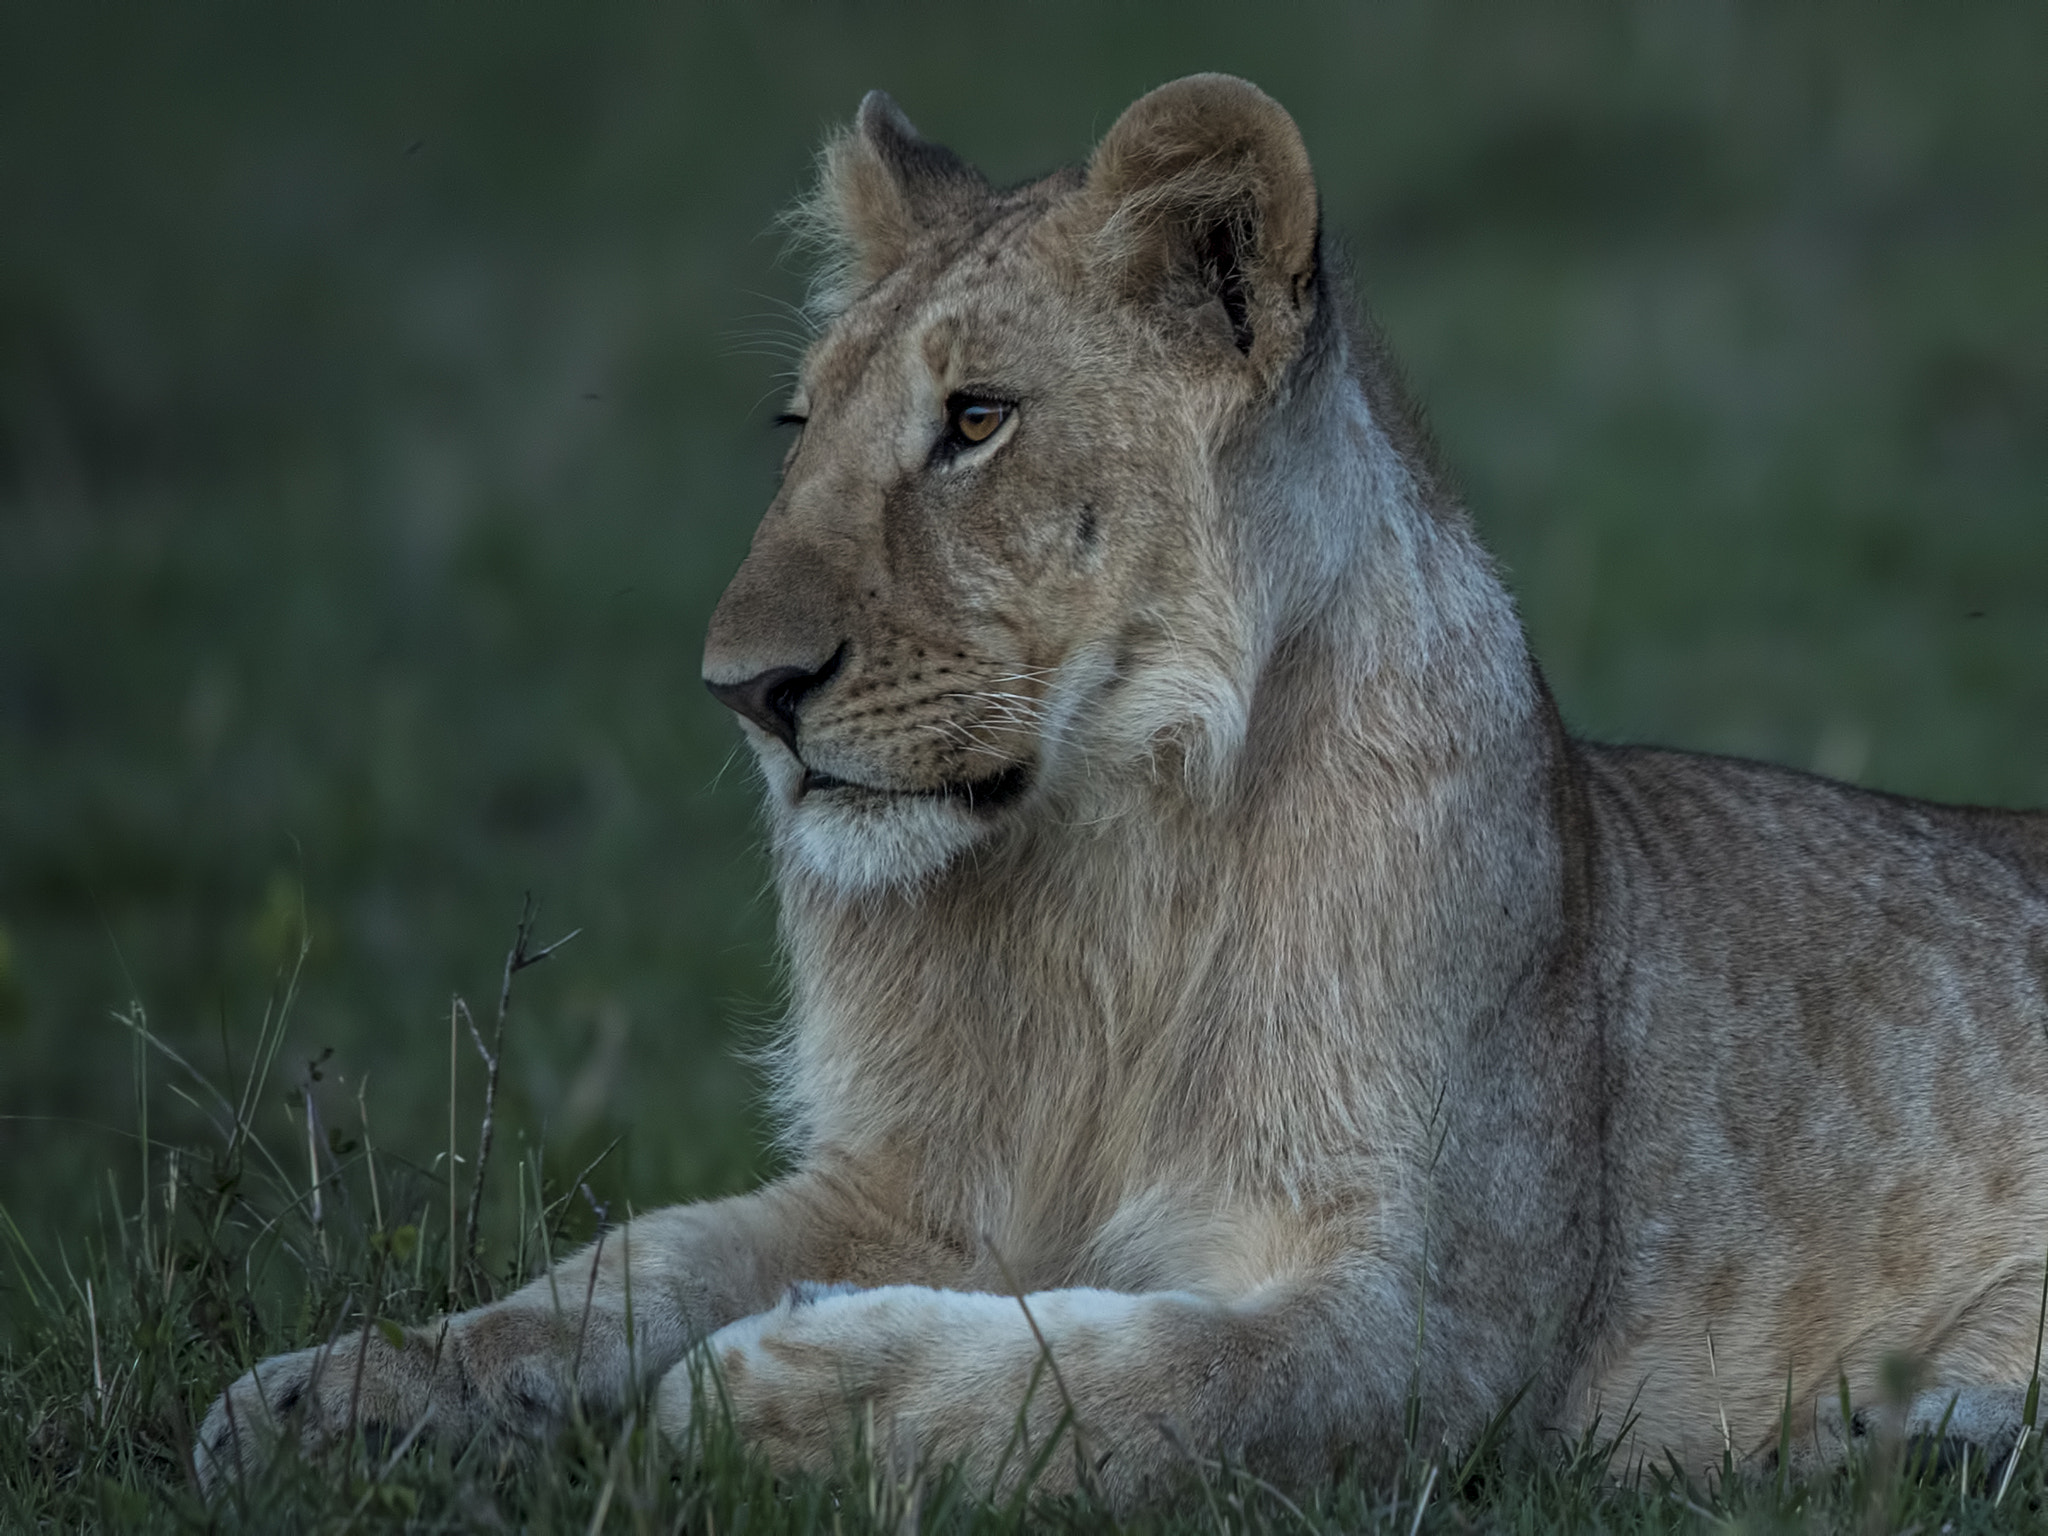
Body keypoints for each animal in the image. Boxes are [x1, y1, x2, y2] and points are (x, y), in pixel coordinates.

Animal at [199, 78, 2048, 1507]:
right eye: (799, 424)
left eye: (977, 419)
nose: (745, 691)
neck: (1102, 869)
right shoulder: (902, 1183)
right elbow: (626, 1265)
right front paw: (338, 1393)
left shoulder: (1432, 1340)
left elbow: (1124, 1393)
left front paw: (772, 1395)